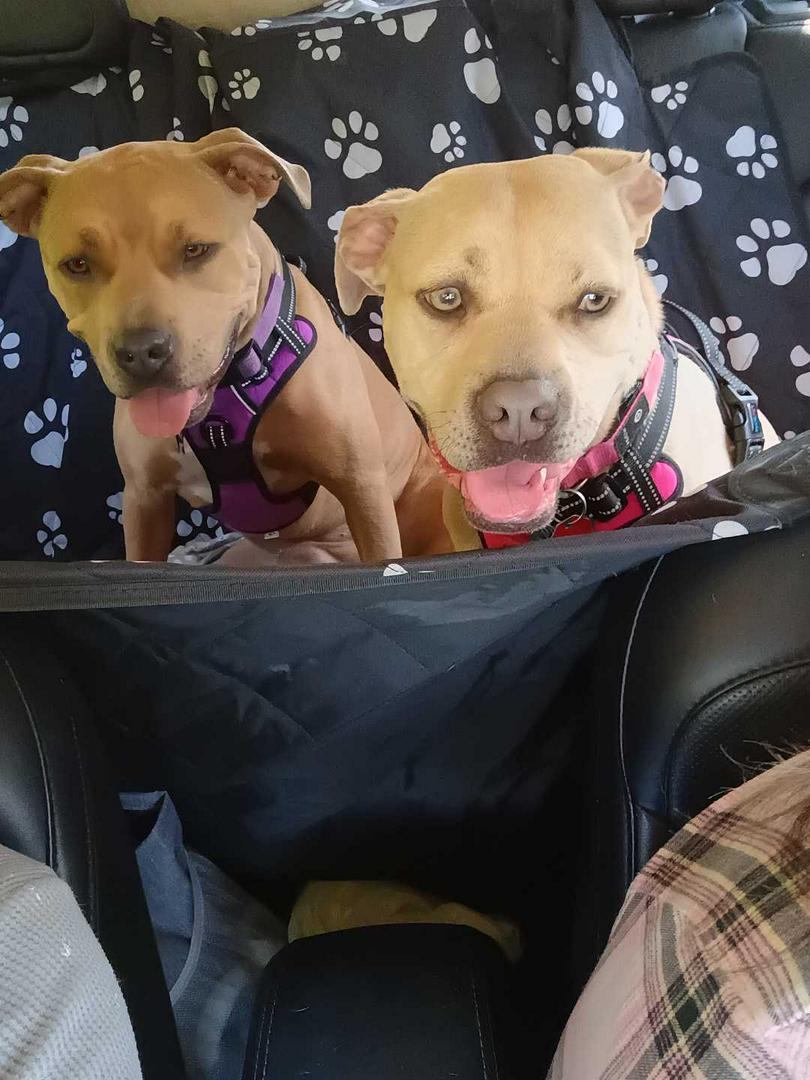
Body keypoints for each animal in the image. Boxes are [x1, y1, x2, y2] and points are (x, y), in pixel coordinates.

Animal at [0, 129, 450, 565]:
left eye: (195, 249)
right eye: (77, 264)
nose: (142, 353)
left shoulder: (360, 486)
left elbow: (384, 556)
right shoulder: (145, 499)